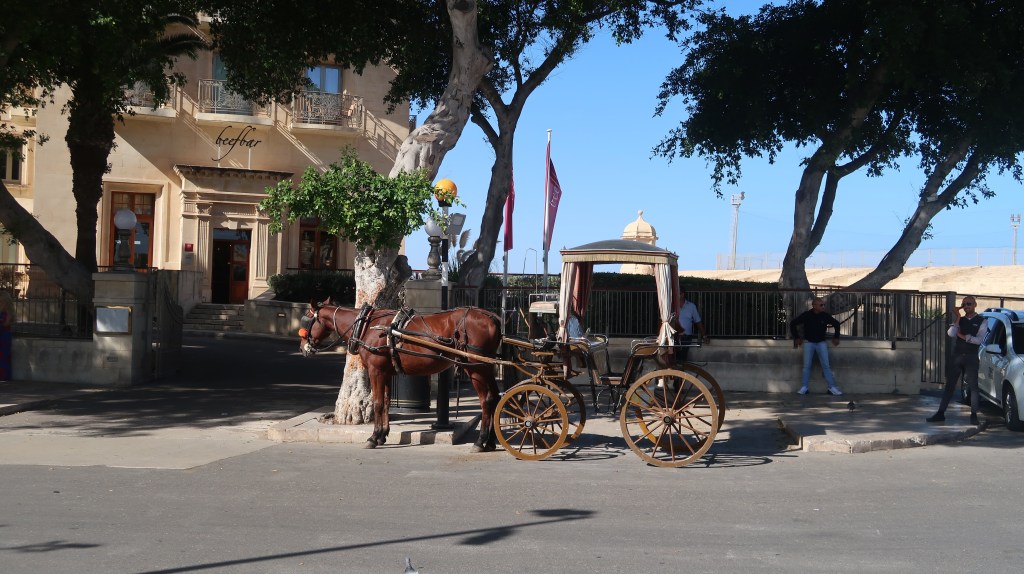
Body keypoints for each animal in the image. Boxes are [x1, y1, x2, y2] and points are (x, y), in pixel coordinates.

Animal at [298, 299, 502, 452]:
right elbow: (387, 402)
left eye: (306, 321)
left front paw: (373, 437)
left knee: (486, 401)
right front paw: (382, 435)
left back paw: (480, 442)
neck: (368, 326)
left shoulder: (376, 371)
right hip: (485, 367)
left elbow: (378, 403)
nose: (302, 348)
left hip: (475, 367)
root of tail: (493, 318)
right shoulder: (386, 372)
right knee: (496, 398)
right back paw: (491, 441)